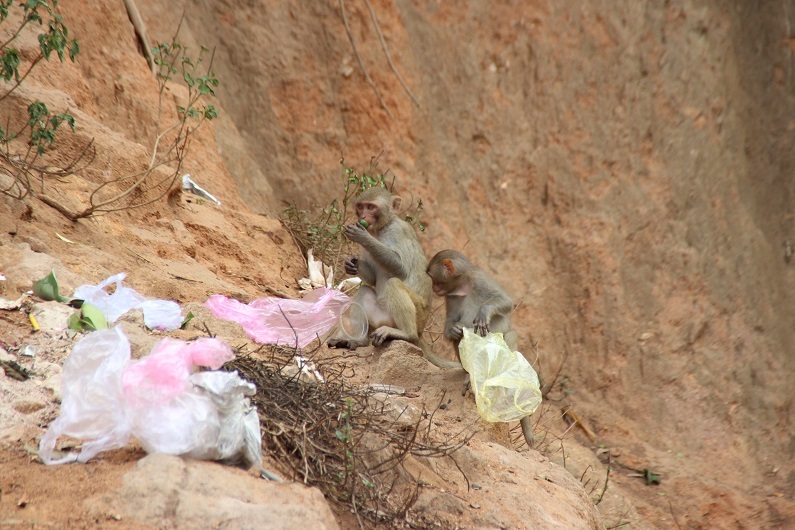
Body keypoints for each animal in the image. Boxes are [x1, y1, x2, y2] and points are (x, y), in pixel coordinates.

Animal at [426, 249, 536, 446]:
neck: (463, 287)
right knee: (462, 337)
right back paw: (471, 373)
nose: (433, 288)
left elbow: (506, 301)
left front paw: (484, 312)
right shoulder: (451, 297)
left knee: (510, 334)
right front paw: (453, 329)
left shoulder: (479, 280)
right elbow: (452, 325)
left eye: (434, 279)